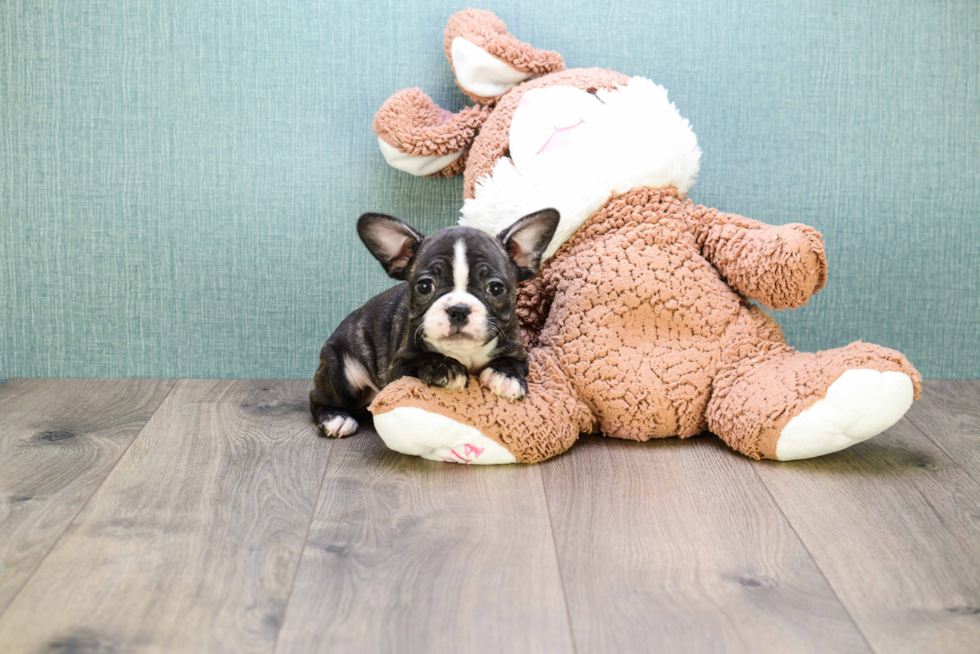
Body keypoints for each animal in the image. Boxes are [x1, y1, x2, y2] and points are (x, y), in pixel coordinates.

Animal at [312, 208, 560, 438]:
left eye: (495, 288)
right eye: (424, 286)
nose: (458, 309)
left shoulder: (518, 351)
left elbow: (511, 362)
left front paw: (506, 376)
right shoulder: (397, 368)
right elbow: (422, 359)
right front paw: (444, 367)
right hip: (343, 373)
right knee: (318, 396)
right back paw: (336, 418)